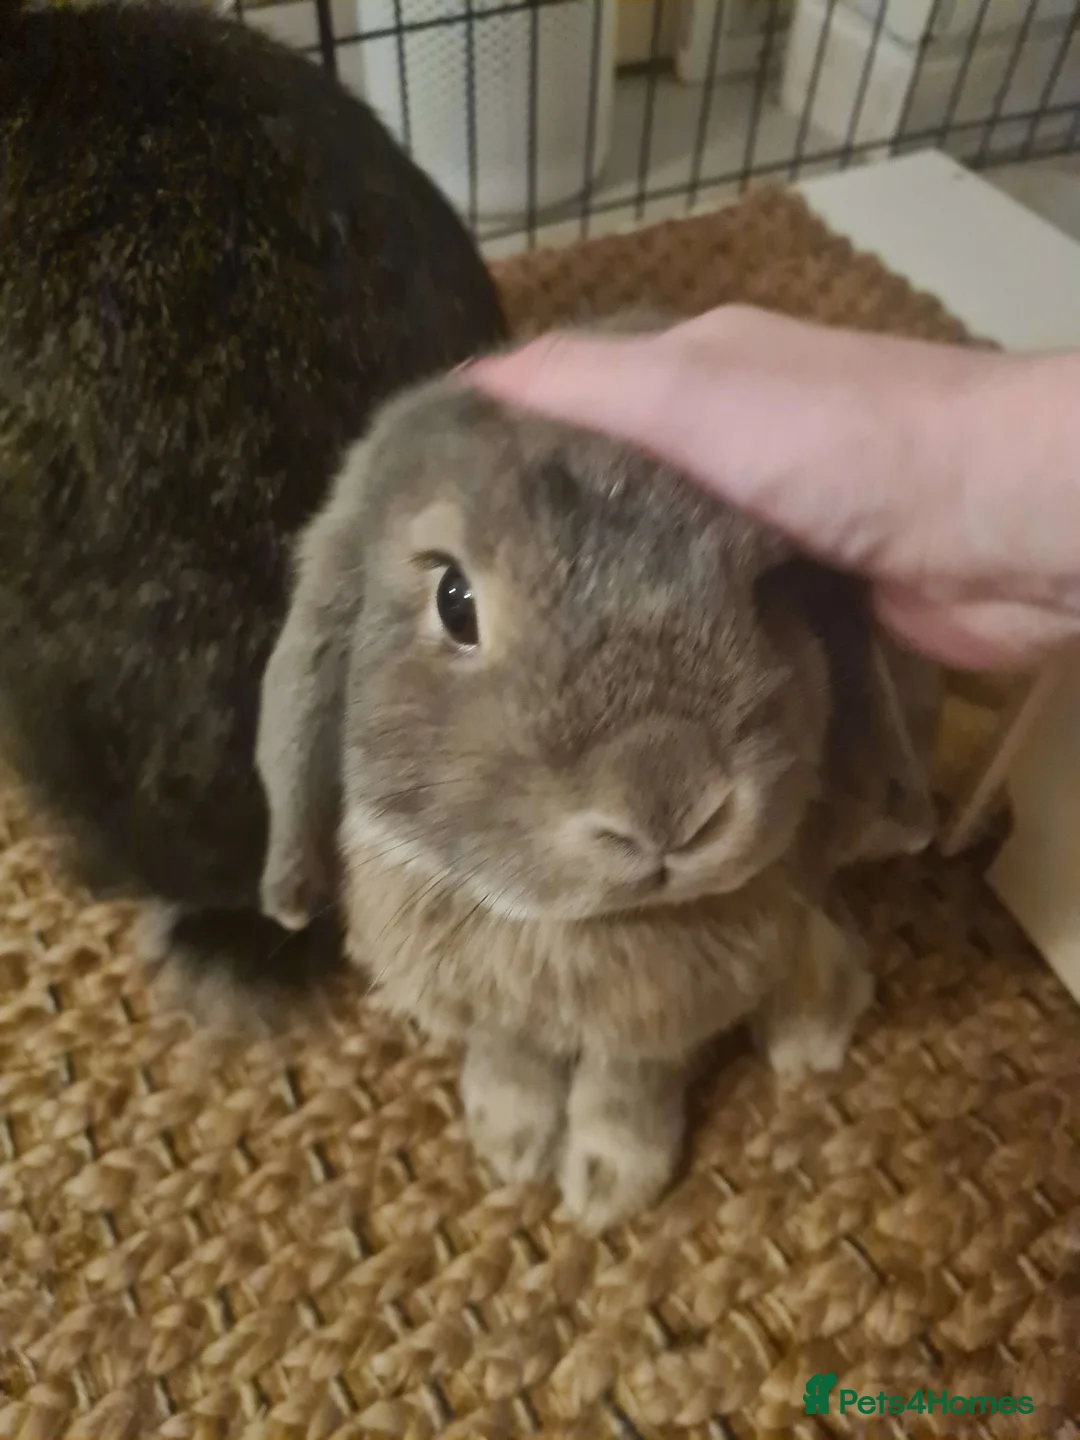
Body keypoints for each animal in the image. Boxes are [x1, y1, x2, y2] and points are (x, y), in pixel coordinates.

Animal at [256, 321, 942, 1232]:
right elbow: (512, 1058)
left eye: (771, 591)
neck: (582, 924)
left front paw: (610, 1185)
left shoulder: (660, 1024)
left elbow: (628, 1085)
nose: (668, 801)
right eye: (453, 599)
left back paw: (810, 1031)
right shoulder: (497, 1008)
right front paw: (510, 1145)